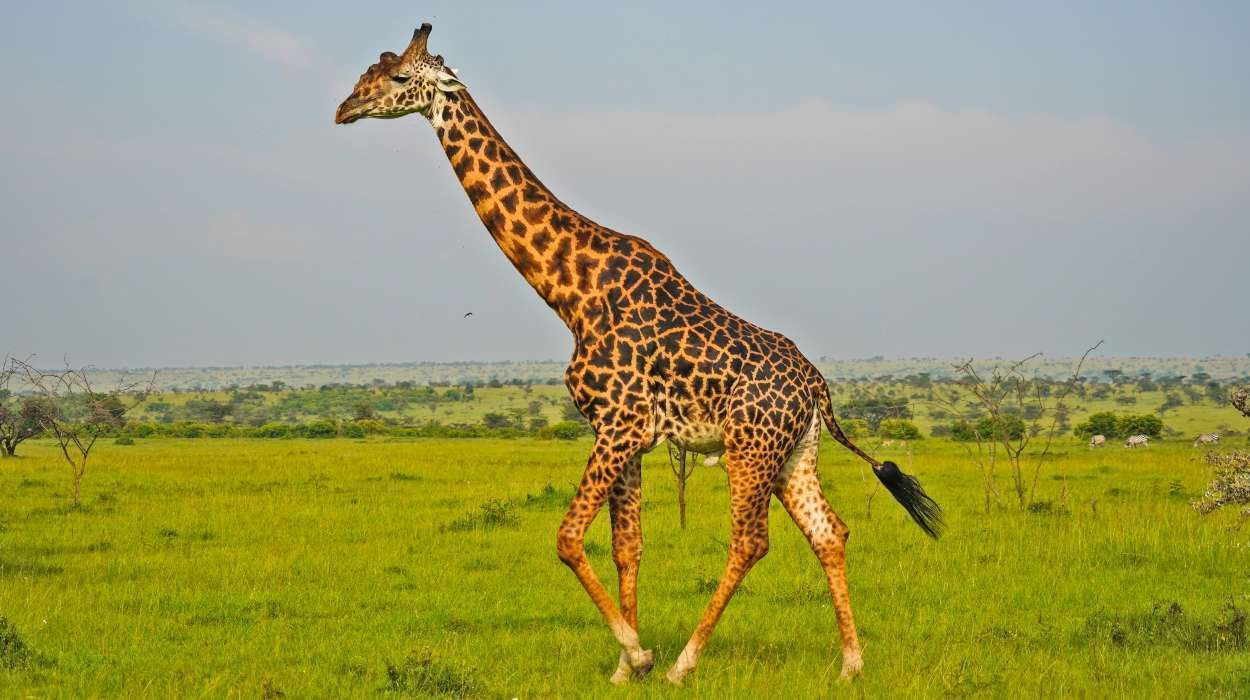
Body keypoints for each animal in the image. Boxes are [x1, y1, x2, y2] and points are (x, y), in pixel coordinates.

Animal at [337, 24, 940, 685]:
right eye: (369, 70)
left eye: (398, 77)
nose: (344, 109)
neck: (570, 290)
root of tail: (816, 387)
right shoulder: (624, 432)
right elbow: (627, 546)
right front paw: (625, 670)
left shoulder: (620, 424)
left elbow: (568, 537)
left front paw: (641, 652)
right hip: (794, 453)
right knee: (830, 532)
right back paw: (851, 664)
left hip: (749, 450)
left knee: (751, 541)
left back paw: (685, 662)